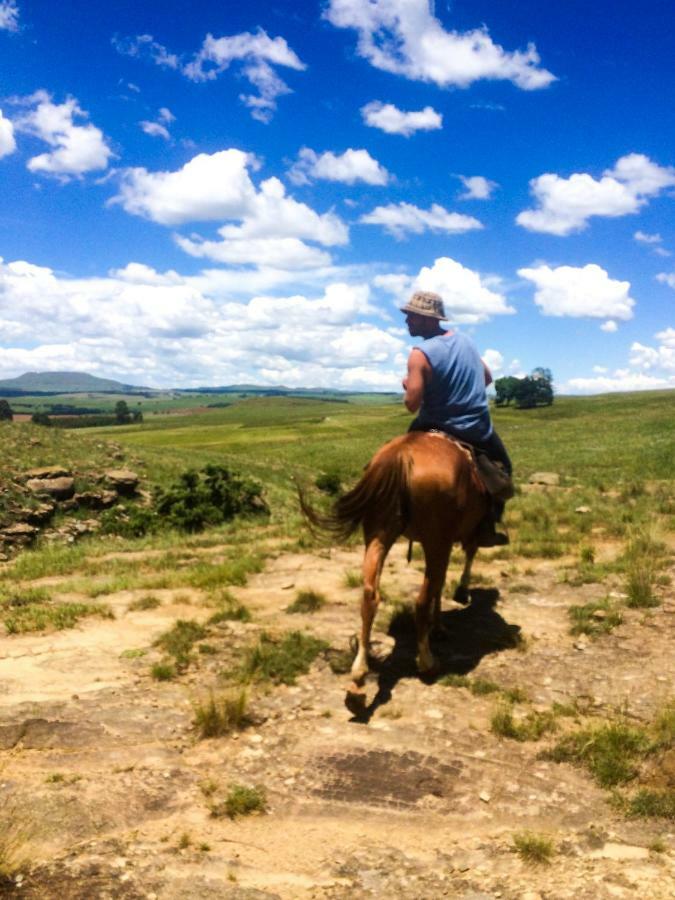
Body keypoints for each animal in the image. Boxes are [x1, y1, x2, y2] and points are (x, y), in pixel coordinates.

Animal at [302, 430, 492, 716]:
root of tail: (402, 453)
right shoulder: (458, 538)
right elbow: (454, 570)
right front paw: (455, 603)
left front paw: (441, 624)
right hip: (435, 539)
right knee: (422, 600)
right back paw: (427, 661)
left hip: (378, 533)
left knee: (370, 596)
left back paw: (357, 683)